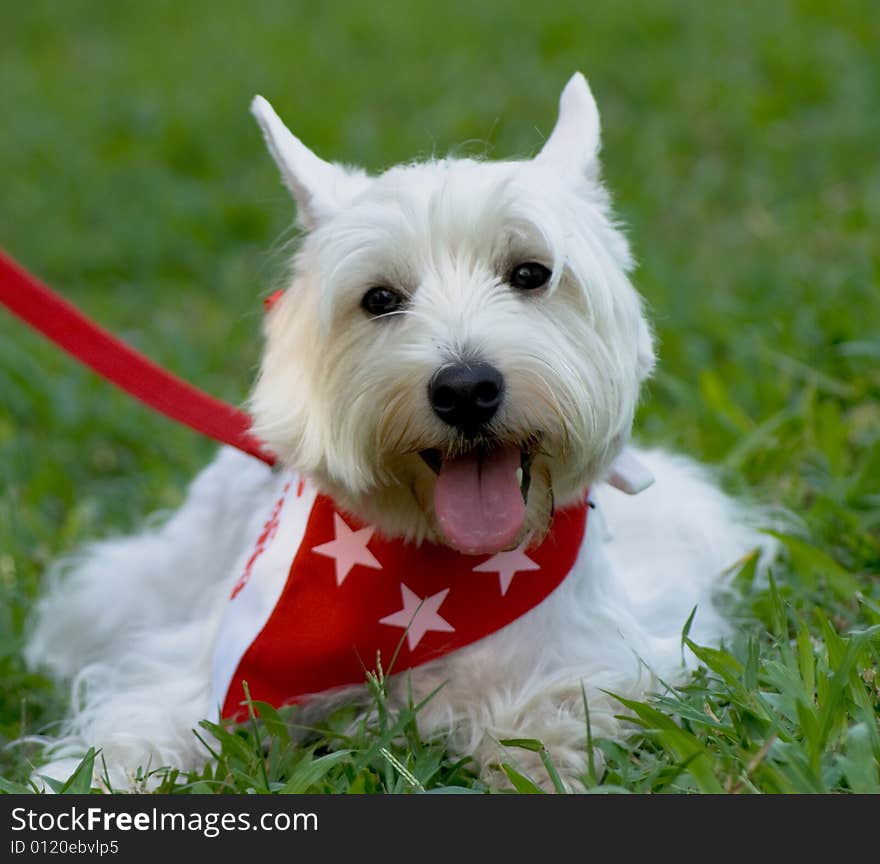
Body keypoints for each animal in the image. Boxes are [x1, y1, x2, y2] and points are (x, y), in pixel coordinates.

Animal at [24, 74, 768, 788]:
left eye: (531, 273)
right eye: (379, 298)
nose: (466, 389)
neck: (440, 574)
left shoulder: (604, 652)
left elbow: (554, 710)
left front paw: (536, 762)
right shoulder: (204, 665)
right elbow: (144, 727)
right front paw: (84, 779)